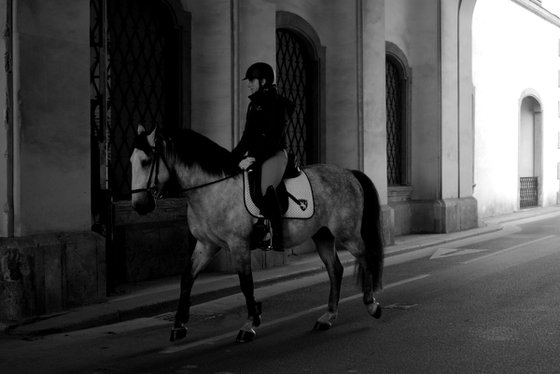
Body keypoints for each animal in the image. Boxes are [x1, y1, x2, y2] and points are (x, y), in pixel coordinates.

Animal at [130, 125, 384, 342]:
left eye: (146, 161)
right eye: (131, 160)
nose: (139, 205)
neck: (213, 188)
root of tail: (349, 172)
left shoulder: (238, 244)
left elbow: (246, 283)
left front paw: (250, 323)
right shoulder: (206, 245)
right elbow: (186, 279)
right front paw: (179, 325)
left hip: (347, 233)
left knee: (365, 257)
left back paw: (372, 304)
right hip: (323, 235)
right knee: (335, 269)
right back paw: (328, 317)